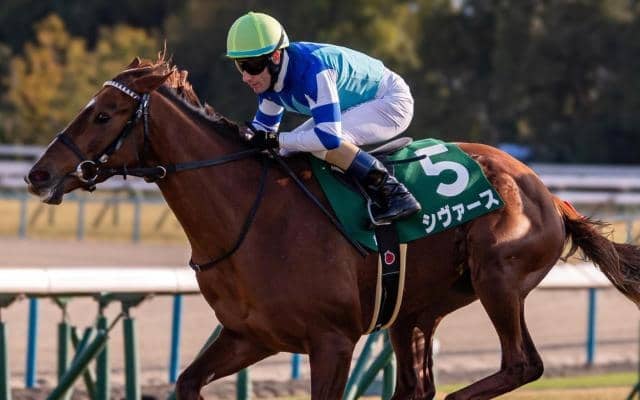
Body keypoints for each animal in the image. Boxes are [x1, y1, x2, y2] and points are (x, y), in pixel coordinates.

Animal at [25, 57, 640, 400]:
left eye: (103, 114)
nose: (38, 174)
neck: (251, 217)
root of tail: (549, 194)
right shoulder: (251, 335)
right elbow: (187, 382)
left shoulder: (332, 342)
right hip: (414, 312)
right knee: (417, 385)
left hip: (498, 276)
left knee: (520, 364)